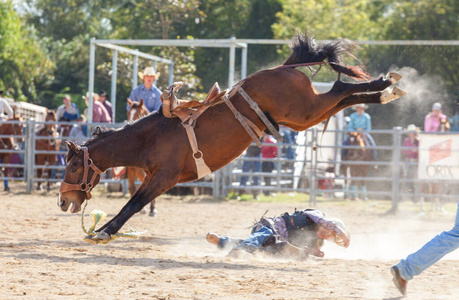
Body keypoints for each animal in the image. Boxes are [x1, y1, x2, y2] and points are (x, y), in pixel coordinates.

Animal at [57, 31, 406, 243]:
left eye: (73, 167)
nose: (62, 201)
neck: (151, 136)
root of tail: (282, 67)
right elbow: (134, 201)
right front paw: (103, 229)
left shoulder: (164, 177)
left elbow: (134, 203)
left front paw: (103, 232)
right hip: (305, 117)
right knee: (343, 97)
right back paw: (386, 90)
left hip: (305, 111)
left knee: (340, 88)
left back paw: (386, 82)